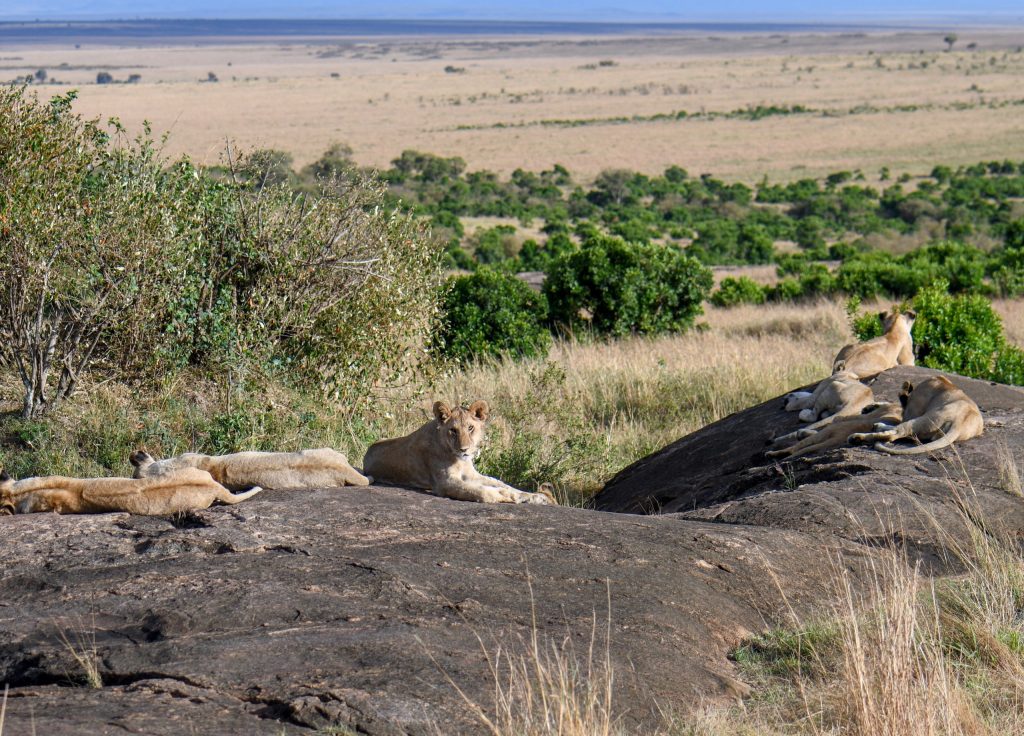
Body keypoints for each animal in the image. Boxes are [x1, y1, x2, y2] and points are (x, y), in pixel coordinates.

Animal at [360, 399, 552, 503]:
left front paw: (534, 497)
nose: (464, 449)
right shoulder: (445, 483)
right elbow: (482, 492)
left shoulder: (471, 475)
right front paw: (506, 497)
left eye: (470, 428)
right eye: (453, 430)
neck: (459, 459)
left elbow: (500, 484)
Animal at [847, 380, 983, 454]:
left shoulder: (912, 411)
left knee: (896, 433)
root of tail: (959, 424)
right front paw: (869, 407)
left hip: (924, 419)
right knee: (905, 434)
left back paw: (857, 437)